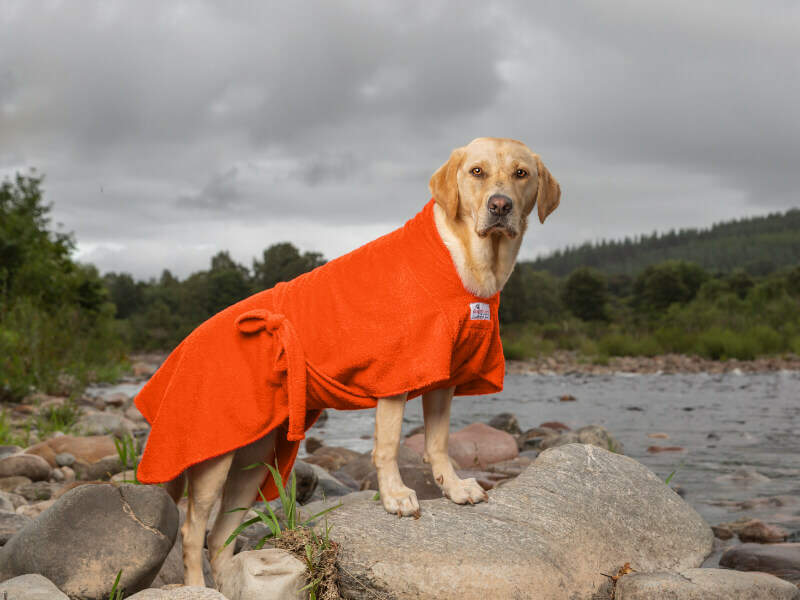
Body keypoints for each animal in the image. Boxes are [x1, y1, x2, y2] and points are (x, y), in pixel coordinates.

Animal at [133, 137, 556, 584]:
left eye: (521, 174)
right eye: (477, 172)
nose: (500, 206)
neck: (468, 263)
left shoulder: (444, 379)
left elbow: (438, 443)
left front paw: (454, 488)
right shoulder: (397, 377)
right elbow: (388, 445)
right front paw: (396, 496)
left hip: (254, 462)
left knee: (219, 537)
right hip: (211, 459)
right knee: (192, 532)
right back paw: (197, 587)